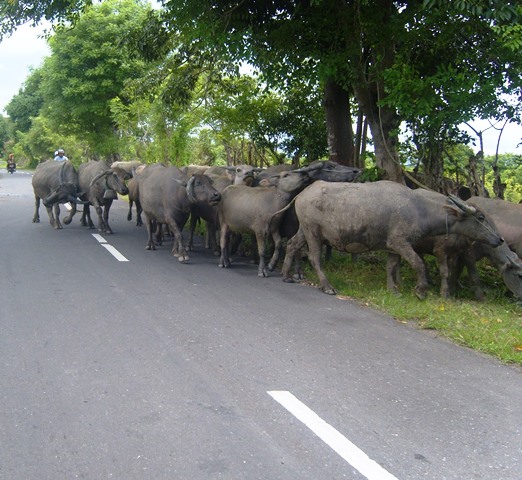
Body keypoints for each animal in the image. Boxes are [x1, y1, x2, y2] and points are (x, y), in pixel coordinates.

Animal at [282, 181, 502, 298]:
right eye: (481, 217)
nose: (499, 239)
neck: (419, 209)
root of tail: (302, 193)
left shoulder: (391, 247)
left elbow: (391, 267)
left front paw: (393, 290)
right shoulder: (401, 242)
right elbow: (419, 264)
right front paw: (421, 291)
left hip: (304, 230)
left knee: (291, 245)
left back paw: (285, 275)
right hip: (313, 232)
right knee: (314, 257)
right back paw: (327, 286)